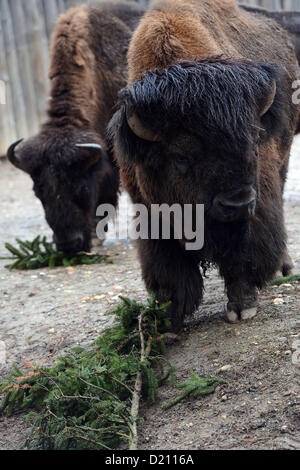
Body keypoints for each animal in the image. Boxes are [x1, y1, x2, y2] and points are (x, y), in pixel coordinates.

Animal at [109, 0, 300, 330]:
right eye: (181, 156)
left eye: (255, 140)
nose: (237, 203)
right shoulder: (149, 211)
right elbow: (171, 271)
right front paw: (169, 322)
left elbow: (243, 256)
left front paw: (242, 308)